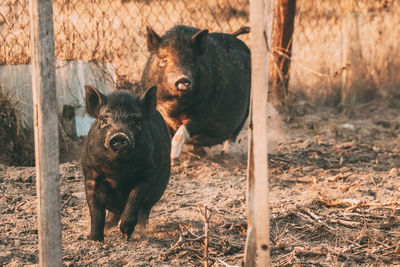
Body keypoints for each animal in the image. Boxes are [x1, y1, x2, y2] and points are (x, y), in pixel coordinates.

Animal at [80, 86, 170, 243]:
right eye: (104, 119)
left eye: (136, 121)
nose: (119, 135)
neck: (118, 172)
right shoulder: (91, 172)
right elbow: (96, 210)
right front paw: (94, 240)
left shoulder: (147, 173)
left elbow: (134, 199)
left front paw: (126, 234)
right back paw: (109, 227)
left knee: (144, 211)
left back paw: (139, 233)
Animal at [141, 25, 250, 163]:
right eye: (164, 59)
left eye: (191, 61)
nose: (183, 79)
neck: (174, 107)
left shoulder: (204, 111)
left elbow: (182, 131)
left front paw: (173, 158)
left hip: (246, 110)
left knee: (233, 135)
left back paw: (226, 155)